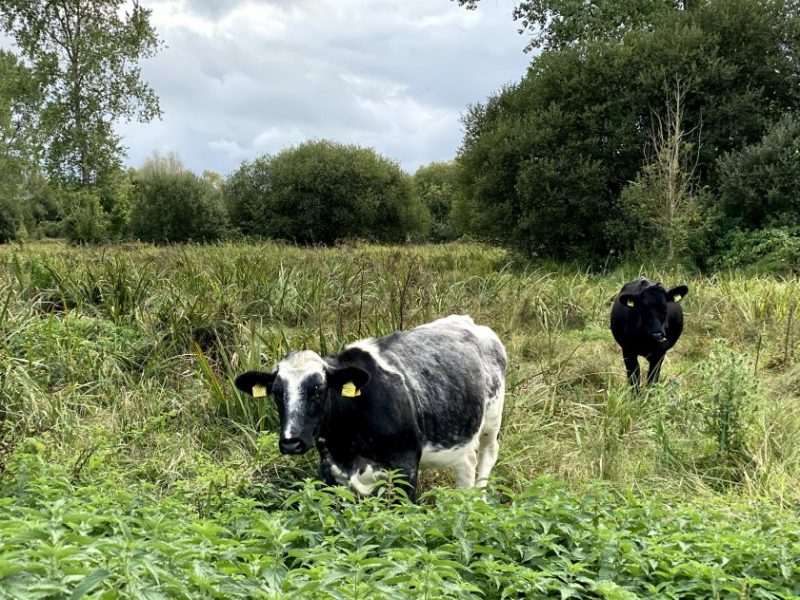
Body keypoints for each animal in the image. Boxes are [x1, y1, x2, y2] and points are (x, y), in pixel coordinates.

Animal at [233, 314, 506, 502]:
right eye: (277, 394)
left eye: (318, 390)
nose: (291, 442)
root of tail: (469, 322)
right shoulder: (329, 469)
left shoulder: (406, 463)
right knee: (467, 462)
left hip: (492, 419)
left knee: (488, 454)